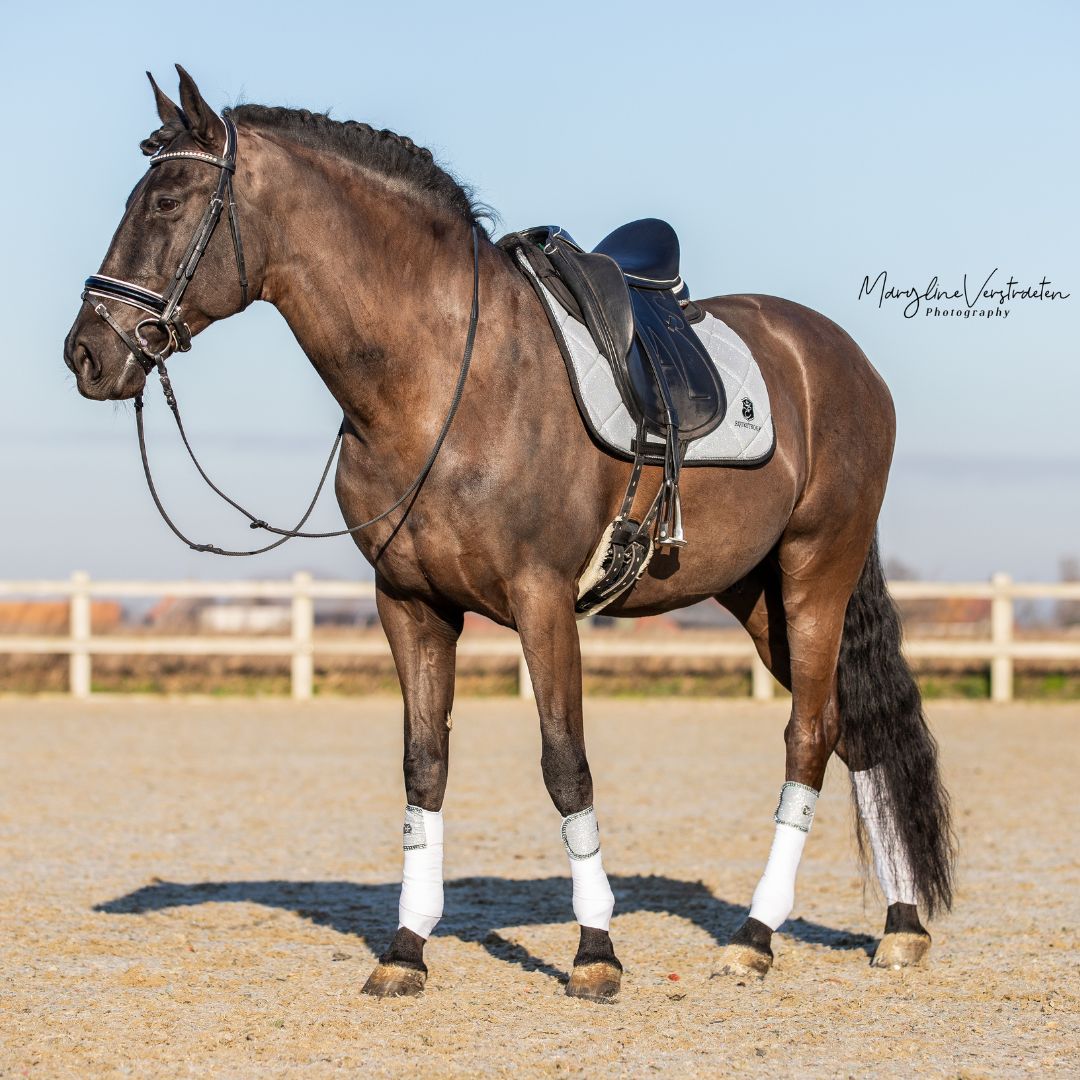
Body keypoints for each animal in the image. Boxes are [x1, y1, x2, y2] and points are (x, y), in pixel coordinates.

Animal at [64, 66, 954, 1001]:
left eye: (168, 201)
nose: (86, 353)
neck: (442, 380)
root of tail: (841, 357)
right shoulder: (410, 605)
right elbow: (424, 767)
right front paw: (406, 949)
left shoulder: (543, 602)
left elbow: (566, 765)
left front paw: (595, 951)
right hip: (757, 594)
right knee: (854, 732)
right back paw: (900, 926)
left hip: (816, 572)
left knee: (808, 737)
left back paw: (755, 934)